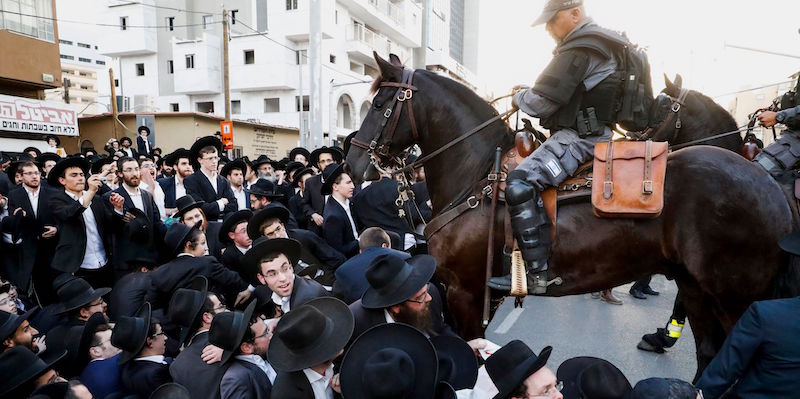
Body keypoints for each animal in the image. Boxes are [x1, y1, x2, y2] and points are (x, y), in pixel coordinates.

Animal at [346, 54, 800, 382]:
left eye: (381, 104)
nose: (353, 162)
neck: (476, 175)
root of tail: (768, 184)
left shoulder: (465, 292)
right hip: (696, 288)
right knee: (709, 355)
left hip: (737, 298)